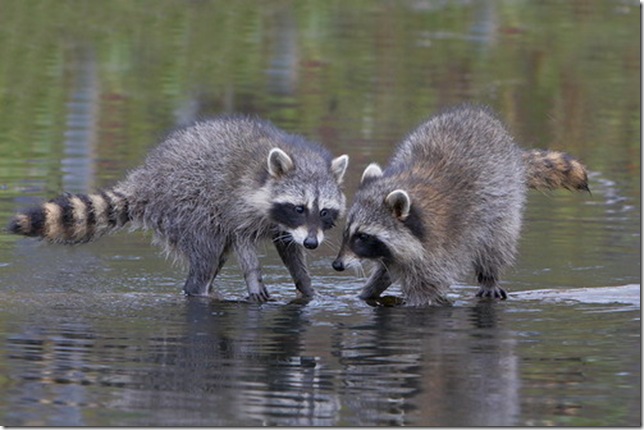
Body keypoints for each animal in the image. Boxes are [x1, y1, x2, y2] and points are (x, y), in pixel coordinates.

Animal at [8, 116, 348, 300]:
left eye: (324, 211)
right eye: (299, 207)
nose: (313, 243)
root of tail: (146, 179)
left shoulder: (287, 226)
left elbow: (289, 249)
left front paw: (305, 284)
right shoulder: (238, 203)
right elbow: (242, 240)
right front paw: (254, 277)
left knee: (215, 257)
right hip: (187, 207)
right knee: (207, 254)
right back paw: (200, 290)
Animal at [332, 104, 588, 306]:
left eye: (363, 236)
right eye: (346, 232)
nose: (337, 265)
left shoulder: (440, 249)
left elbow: (426, 291)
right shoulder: (397, 251)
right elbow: (385, 270)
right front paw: (368, 292)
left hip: (504, 204)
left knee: (497, 244)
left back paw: (490, 276)